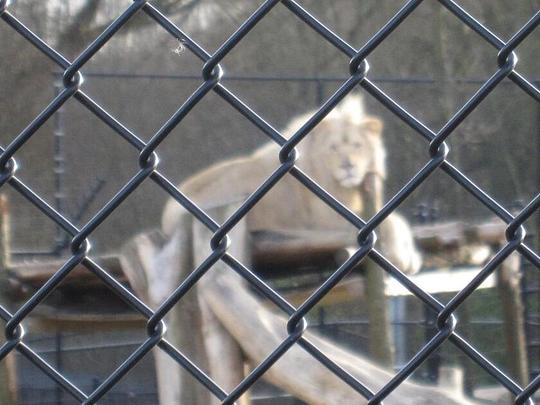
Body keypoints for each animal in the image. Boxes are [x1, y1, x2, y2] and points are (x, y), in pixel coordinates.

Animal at [161, 95, 422, 274]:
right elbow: (392, 221)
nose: (348, 165)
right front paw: (403, 257)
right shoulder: (329, 219)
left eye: (357, 145)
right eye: (334, 148)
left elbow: (397, 221)